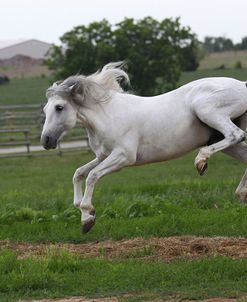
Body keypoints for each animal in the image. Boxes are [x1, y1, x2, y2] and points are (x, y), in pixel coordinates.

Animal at [41, 62, 247, 234]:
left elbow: (92, 176)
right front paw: (84, 213)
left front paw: (87, 216)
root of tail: (242, 84)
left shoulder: (123, 157)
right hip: (222, 139)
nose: (46, 140)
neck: (107, 115)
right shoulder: (103, 156)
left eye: (59, 107)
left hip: (207, 111)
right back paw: (241, 193)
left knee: (236, 135)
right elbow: (78, 173)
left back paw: (201, 161)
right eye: (45, 110)